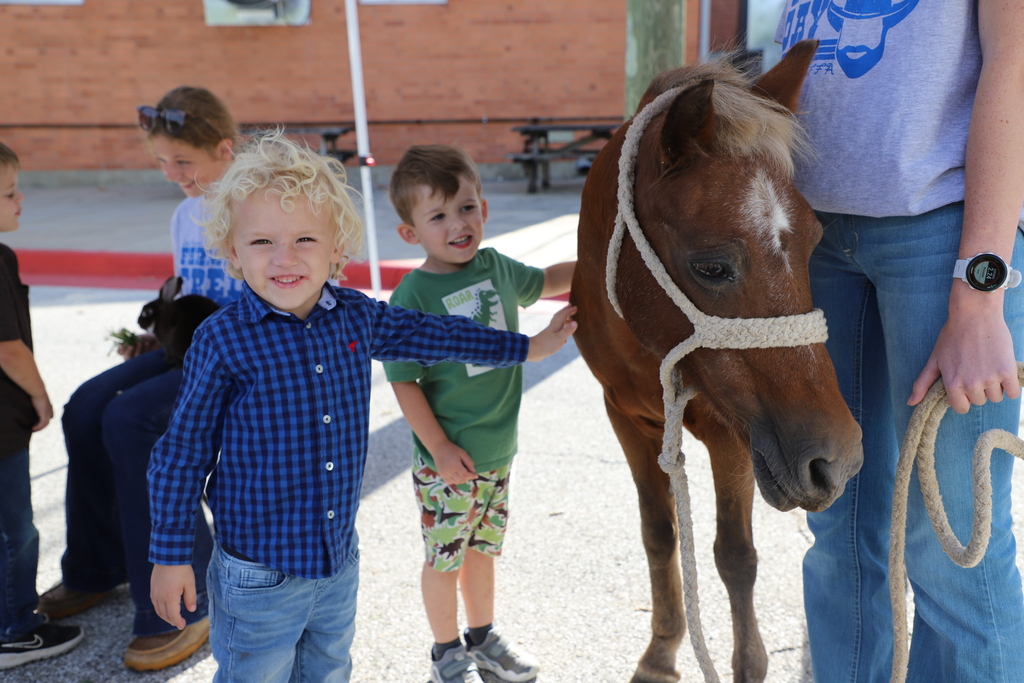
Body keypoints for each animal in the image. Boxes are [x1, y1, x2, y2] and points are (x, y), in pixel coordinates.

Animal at [569, 40, 864, 683]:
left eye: (815, 243)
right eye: (711, 267)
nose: (836, 459)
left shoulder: (734, 437)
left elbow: (735, 554)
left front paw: (746, 666)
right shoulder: (625, 418)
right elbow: (659, 534)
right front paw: (661, 652)